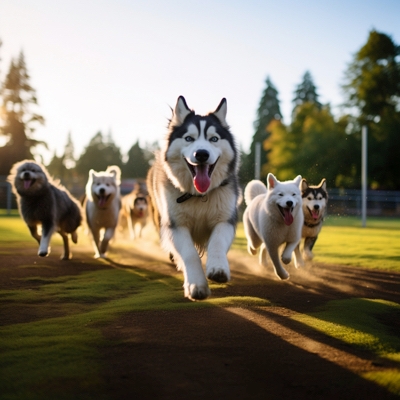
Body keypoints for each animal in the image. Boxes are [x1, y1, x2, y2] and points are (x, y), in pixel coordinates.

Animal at [147, 96, 241, 300]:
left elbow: (217, 242)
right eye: (189, 138)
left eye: (214, 139)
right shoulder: (175, 225)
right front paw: (196, 285)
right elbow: (189, 253)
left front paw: (218, 268)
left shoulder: (225, 219)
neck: (199, 196)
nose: (202, 154)